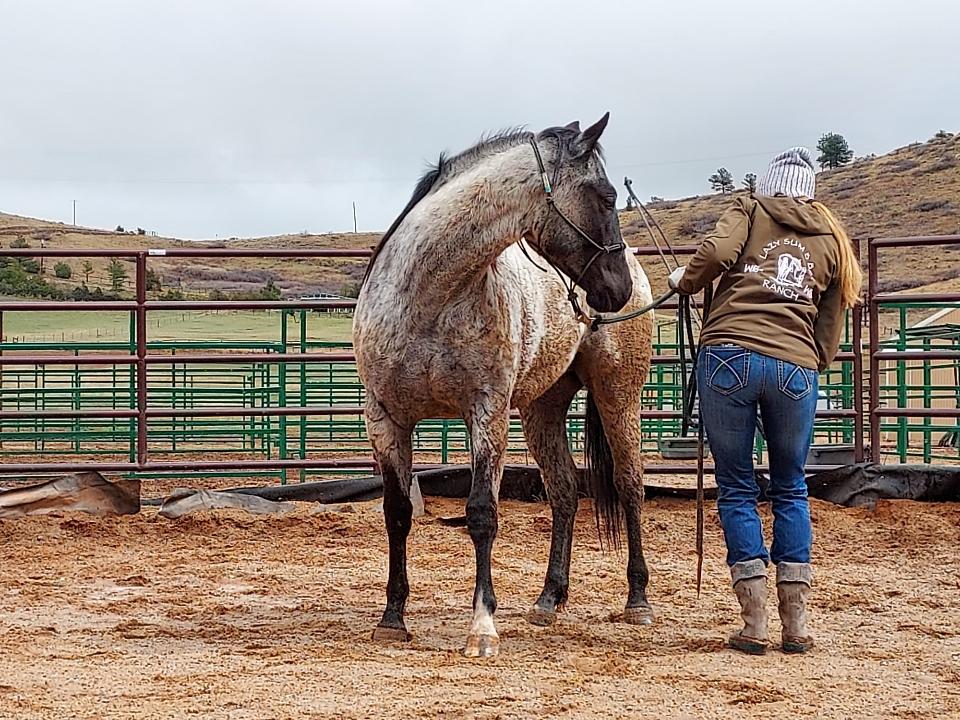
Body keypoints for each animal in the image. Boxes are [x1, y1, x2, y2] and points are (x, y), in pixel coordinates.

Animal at [353, 113, 655, 657]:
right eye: (605, 196)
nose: (617, 290)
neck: (430, 297)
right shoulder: (387, 418)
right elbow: (397, 513)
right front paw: (392, 618)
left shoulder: (486, 412)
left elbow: (482, 514)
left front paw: (482, 628)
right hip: (541, 410)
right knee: (563, 490)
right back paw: (549, 599)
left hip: (618, 398)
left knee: (629, 486)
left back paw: (637, 601)